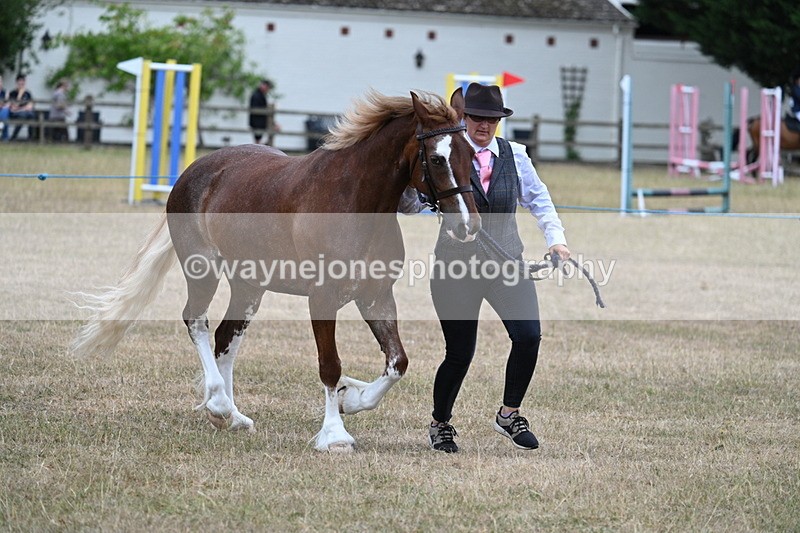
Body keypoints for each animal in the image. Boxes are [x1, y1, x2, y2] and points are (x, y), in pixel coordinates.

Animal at [72, 88, 481, 452]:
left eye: (472, 154)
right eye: (438, 158)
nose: (468, 226)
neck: (353, 200)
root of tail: (196, 171)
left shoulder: (376, 298)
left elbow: (397, 363)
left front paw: (352, 398)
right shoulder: (322, 299)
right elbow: (330, 365)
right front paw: (334, 435)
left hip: (249, 285)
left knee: (227, 337)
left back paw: (231, 416)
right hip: (202, 270)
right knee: (197, 321)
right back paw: (219, 404)